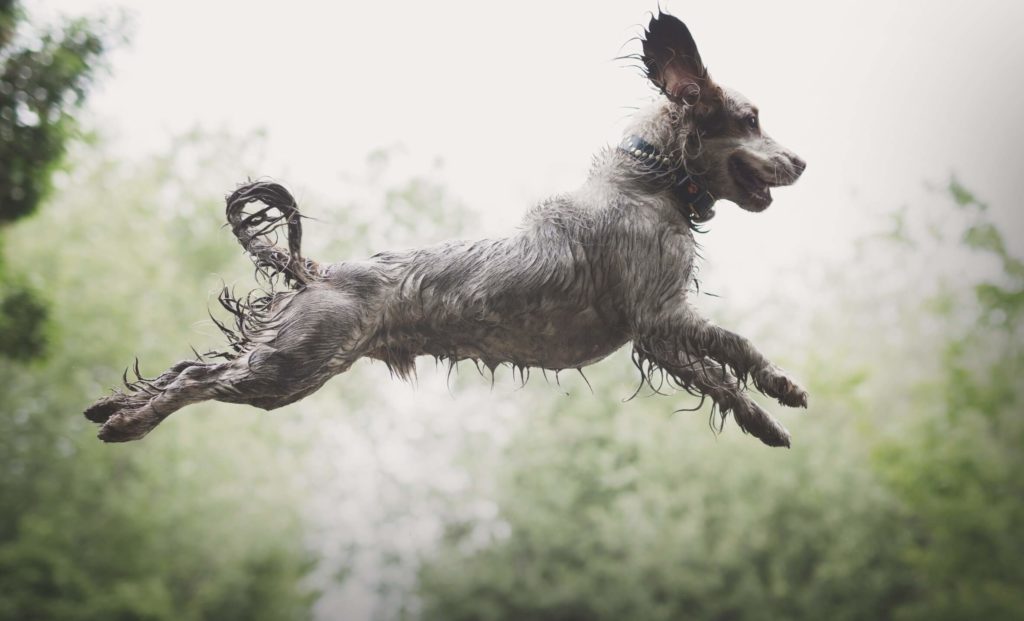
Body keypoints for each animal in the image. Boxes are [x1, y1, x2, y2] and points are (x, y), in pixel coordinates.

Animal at [83, 9, 806, 446]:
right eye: (750, 118)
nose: (801, 161)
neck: (650, 185)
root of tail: (318, 273)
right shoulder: (659, 318)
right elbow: (732, 354)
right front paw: (777, 395)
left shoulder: (660, 329)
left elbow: (725, 371)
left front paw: (768, 413)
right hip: (289, 367)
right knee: (197, 380)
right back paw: (129, 421)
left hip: (286, 359)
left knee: (188, 364)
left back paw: (112, 409)